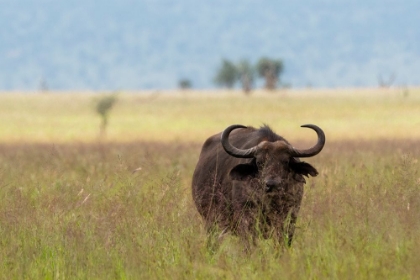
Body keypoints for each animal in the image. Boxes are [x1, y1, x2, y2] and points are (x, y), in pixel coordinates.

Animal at [191, 123, 324, 246]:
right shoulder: (246, 219)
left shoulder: (290, 218)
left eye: (286, 162)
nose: (271, 184)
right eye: (260, 162)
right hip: (211, 222)